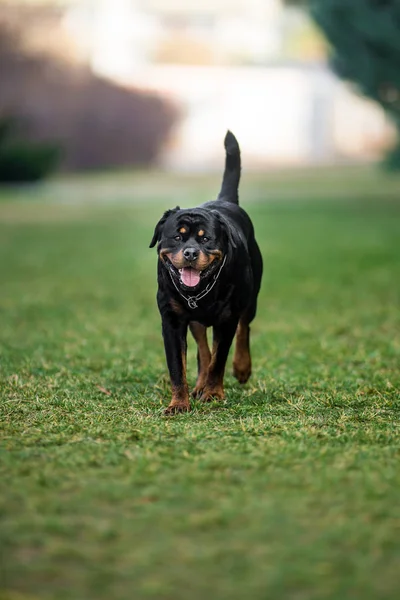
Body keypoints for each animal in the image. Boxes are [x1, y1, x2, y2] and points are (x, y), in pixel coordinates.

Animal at [150, 131, 262, 412]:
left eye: (205, 239)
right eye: (177, 238)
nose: (190, 252)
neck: (200, 292)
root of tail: (225, 200)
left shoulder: (227, 318)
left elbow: (219, 360)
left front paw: (212, 393)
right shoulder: (171, 321)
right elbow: (178, 367)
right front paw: (179, 403)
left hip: (250, 298)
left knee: (244, 328)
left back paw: (241, 368)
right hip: (195, 321)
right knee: (202, 350)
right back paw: (198, 385)